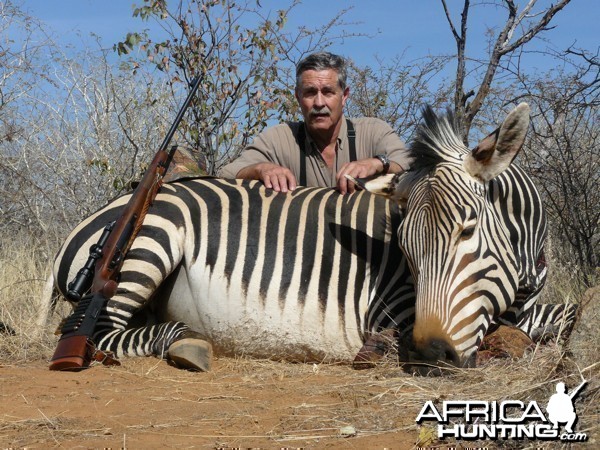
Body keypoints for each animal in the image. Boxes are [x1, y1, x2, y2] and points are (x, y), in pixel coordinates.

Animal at [45, 103, 572, 372]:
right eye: (405, 250)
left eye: (467, 230)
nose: (429, 354)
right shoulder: (397, 308)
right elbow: (524, 332)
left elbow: (562, 316)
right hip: (150, 247)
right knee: (90, 329)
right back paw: (187, 343)